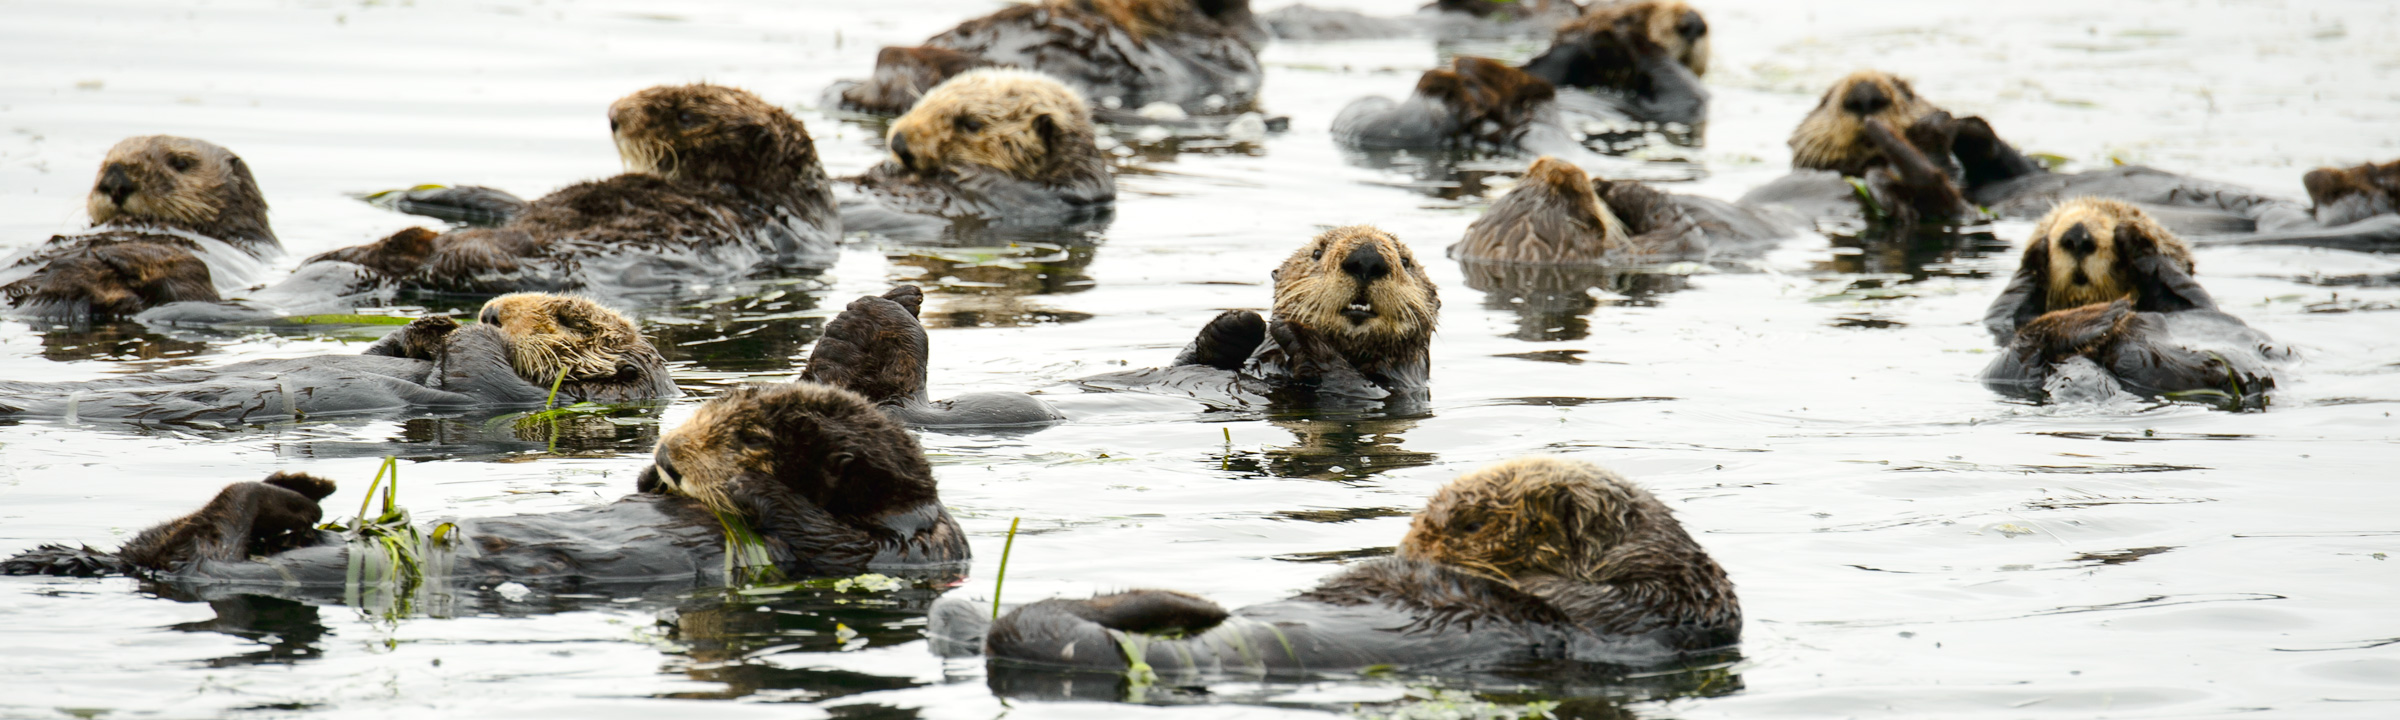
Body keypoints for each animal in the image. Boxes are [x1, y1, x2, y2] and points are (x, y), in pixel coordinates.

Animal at [144, 84, 837, 326]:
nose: (613, 114)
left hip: (478, 264)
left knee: (436, 258)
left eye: (687, 113)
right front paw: (435, 192)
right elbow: (520, 198)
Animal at [1084, 226, 1439, 405]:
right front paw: (1237, 325)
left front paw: (1297, 332)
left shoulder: (1396, 389)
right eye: (1317, 252)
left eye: (1406, 261)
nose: (1366, 257)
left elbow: (1357, 386)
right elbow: (1183, 361)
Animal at [1977, 200, 2283, 409]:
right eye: (2054, 224)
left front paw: (2134, 232)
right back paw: (2109, 315)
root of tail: (2079, 358)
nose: (2076, 234)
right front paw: (2036, 250)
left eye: (2111, 218)